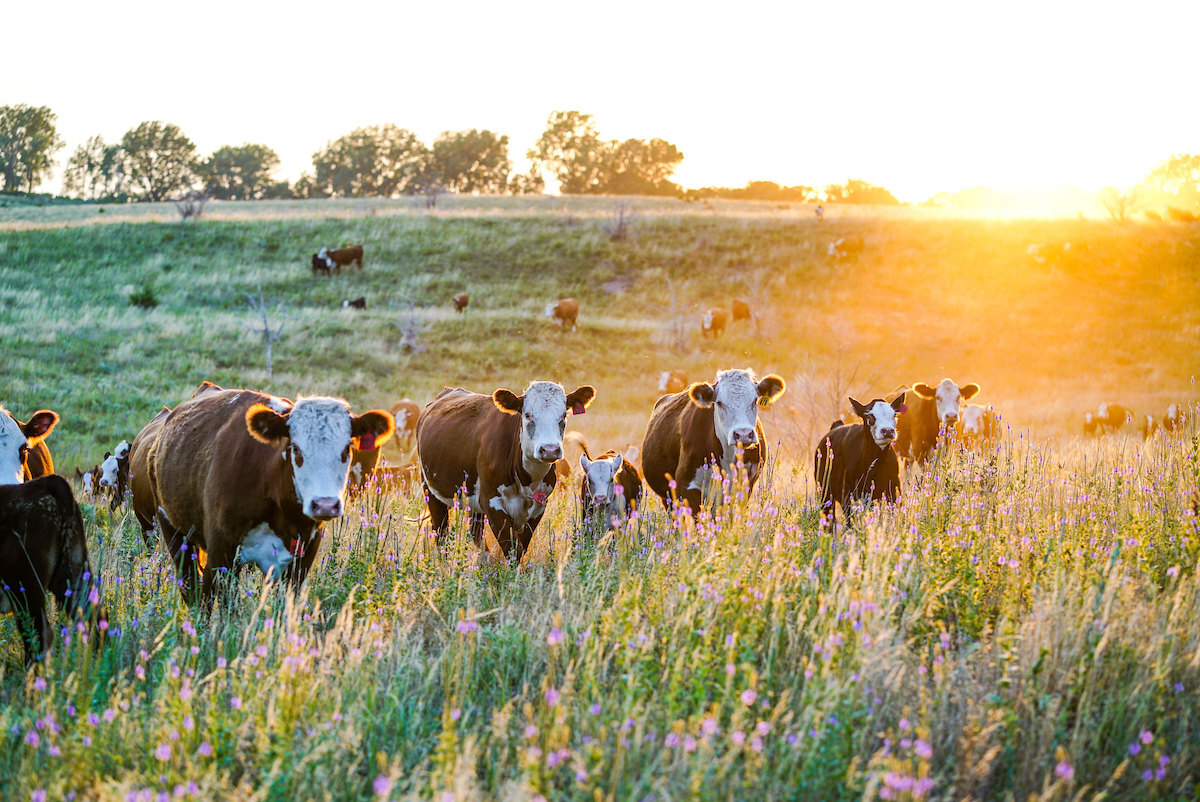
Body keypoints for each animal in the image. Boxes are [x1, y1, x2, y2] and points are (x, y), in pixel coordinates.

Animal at [137, 381, 393, 600]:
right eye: (295, 448)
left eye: (347, 447)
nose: (326, 505)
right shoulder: (221, 552)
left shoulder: (302, 557)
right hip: (172, 531)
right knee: (193, 591)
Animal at [417, 381, 595, 557]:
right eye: (527, 415)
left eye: (564, 415)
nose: (549, 450)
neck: (526, 481)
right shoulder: (491, 503)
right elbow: (512, 548)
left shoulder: (539, 507)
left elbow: (521, 547)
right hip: (431, 492)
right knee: (441, 533)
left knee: (475, 531)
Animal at [811, 396, 902, 525]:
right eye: (870, 416)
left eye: (894, 414)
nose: (888, 430)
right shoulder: (847, 493)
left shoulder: (894, 489)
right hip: (824, 492)